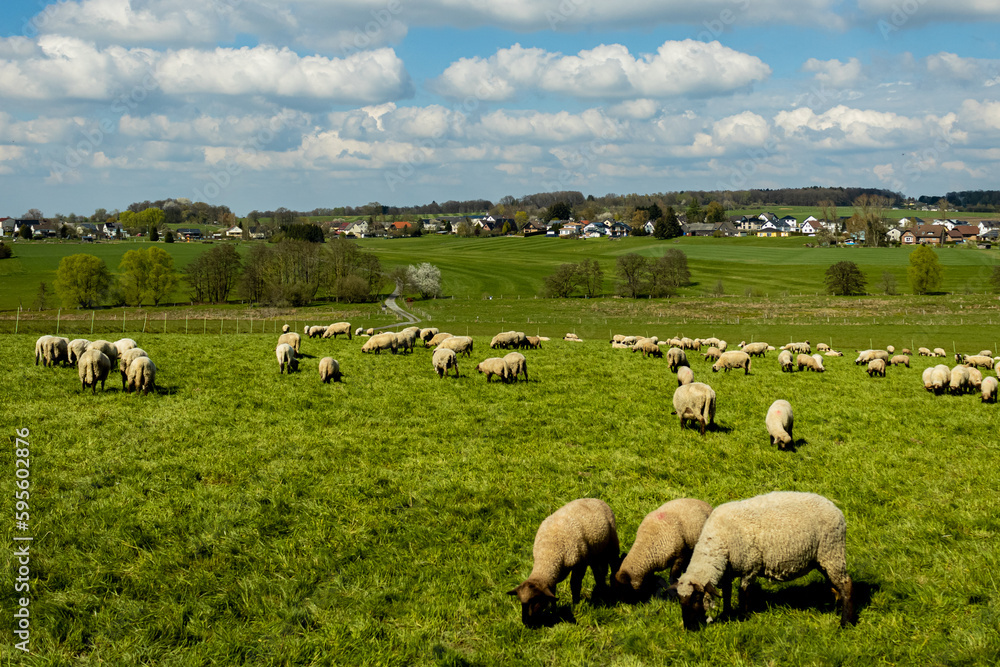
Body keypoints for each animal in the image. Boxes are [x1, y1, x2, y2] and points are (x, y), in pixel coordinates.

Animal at [508, 498, 619, 627]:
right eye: (521, 602)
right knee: (599, 572)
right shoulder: (552, 577)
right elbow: (552, 593)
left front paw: (576, 604)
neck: (548, 554)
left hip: (612, 542)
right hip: (595, 551)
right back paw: (601, 590)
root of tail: (594, 499)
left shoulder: (579, 564)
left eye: (535, 601)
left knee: (614, 563)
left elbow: (575, 585)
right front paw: (553, 612)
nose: (526, 623)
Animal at [674, 491, 855, 630]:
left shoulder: (749, 567)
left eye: (697, 598)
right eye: (680, 600)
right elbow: (727, 593)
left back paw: (845, 622)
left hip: (832, 550)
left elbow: (743, 593)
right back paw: (836, 608)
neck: (718, 539)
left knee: (846, 584)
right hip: (823, 558)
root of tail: (835, 508)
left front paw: (743, 617)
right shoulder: (727, 571)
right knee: (835, 584)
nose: (689, 627)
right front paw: (726, 614)